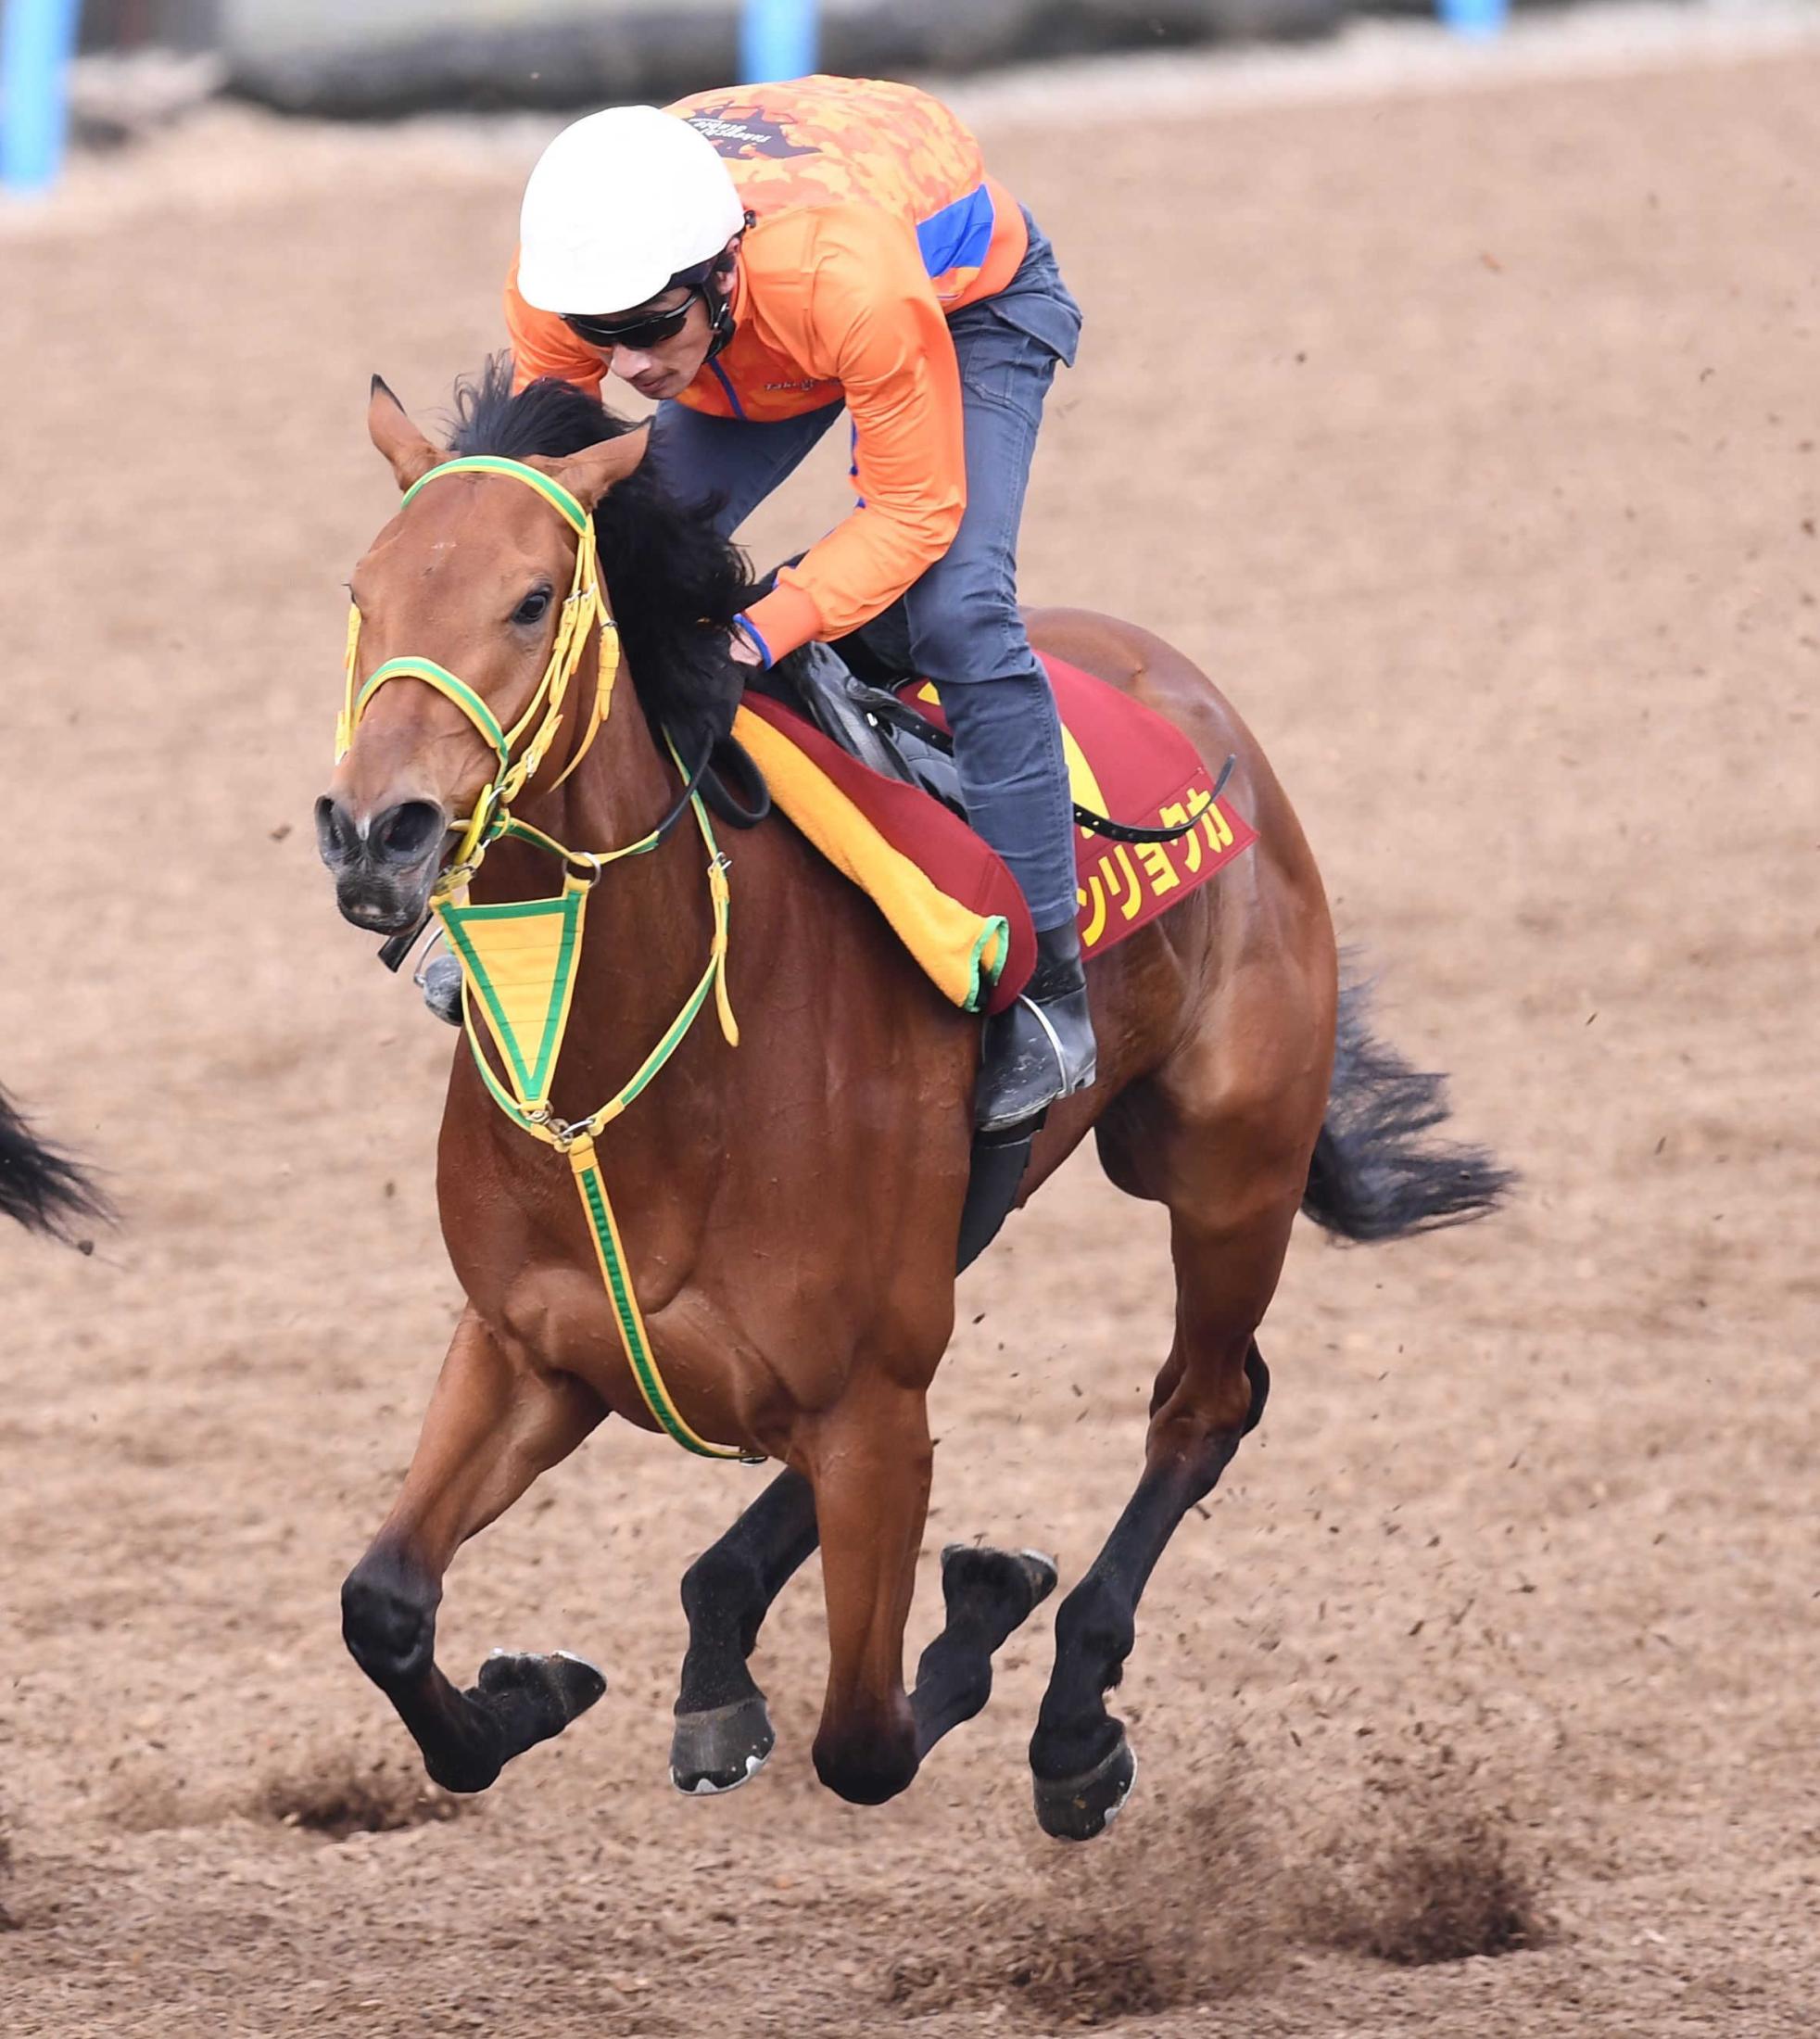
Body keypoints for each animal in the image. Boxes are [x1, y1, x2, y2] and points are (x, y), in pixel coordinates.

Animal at [315, 367, 1508, 1851]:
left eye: (532, 599)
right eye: (362, 590)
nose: (376, 833)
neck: (627, 1073)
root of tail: (1185, 688)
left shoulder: (870, 1404)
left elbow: (868, 1737)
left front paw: (991, 1614)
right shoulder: (529, 1347)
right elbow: (383, 1605)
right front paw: (534, 1689)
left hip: (1226, 1164)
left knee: (1204, 1405)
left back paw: (1071, 1721)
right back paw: (723, 1645)